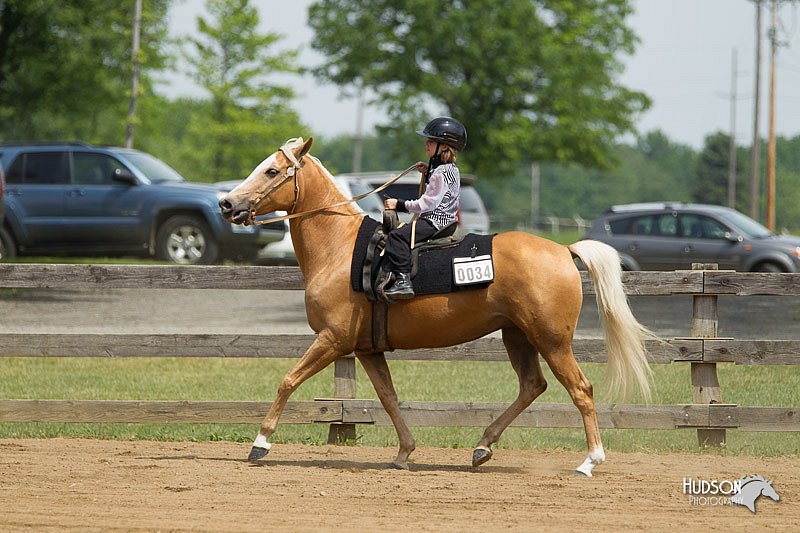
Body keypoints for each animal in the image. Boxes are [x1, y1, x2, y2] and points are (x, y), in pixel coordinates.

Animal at [216, 136, 652, 474]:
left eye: (272, 171)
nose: (226, 204)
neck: (340, 249)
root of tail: (564, 250)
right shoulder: (366, 348)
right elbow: (388, 397)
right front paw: (404, 453)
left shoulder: (333, 339)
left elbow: (288, 380)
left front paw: (260, 443)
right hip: (517, 335)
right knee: (533, 385)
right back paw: (483, 447)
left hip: (552, 341)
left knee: (580, 389)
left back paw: (589, 461)